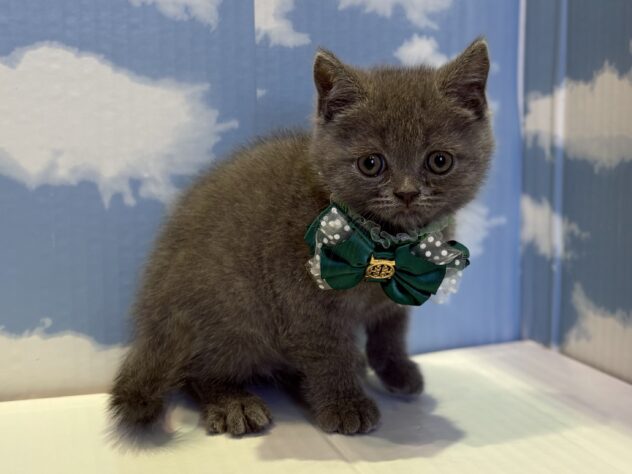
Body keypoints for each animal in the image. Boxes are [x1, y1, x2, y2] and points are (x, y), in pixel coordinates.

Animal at [109, 38, 494, 436]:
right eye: (371, 163)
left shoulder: (401, 292)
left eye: (439, 161)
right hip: (232, 310)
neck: (388, 246)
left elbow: (390, 331)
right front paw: (345, 405)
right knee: (195, 371)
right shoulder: (303, 302)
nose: (406, 192)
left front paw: (397, 370)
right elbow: (328, 353)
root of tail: (150, 321)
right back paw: (234, 403)